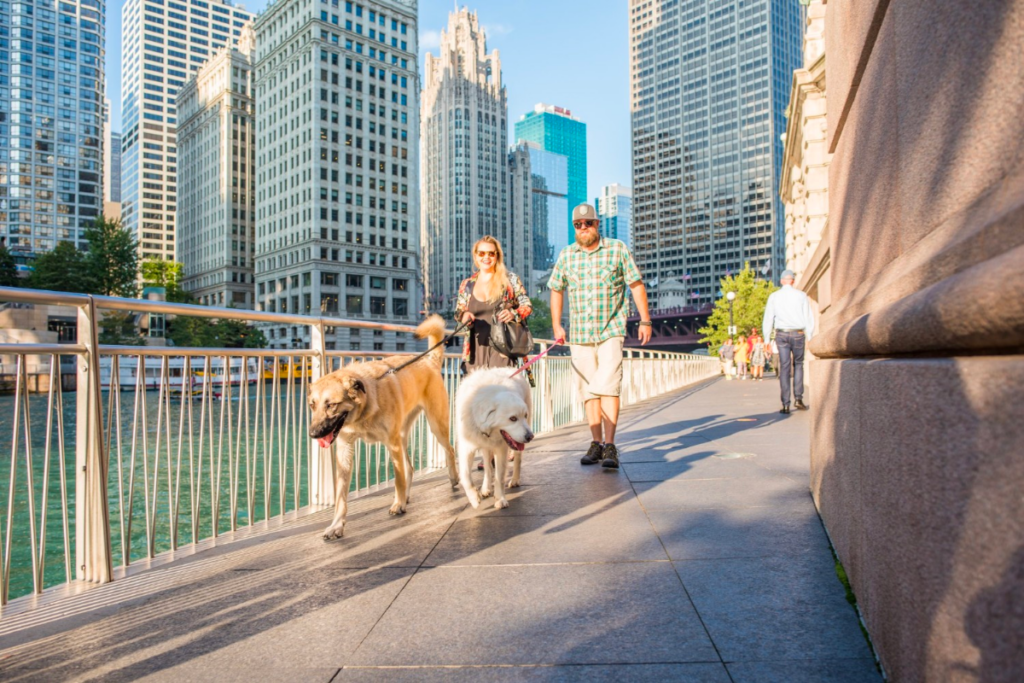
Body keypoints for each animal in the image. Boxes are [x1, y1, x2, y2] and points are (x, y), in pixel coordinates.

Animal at [307, 317, 460, 540]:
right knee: (409, 468)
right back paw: (407, 495)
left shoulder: (391, 443)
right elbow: (341, 494)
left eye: (331, 405)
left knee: (449, 449)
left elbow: (397, 479)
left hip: (434, 425)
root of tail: (429, 360)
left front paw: (398, 504)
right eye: (312, 405)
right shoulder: (345, 448)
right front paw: (336, 525)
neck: (365, 408)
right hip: (403, 434)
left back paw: (453, 477)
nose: (312, 434)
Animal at [456, 368, 536, 507]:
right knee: (487, 467)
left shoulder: (501, 449)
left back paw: (515, 480)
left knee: (518, 458)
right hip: (486, 447)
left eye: (524, 416)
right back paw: (485, 488)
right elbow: (465, 476)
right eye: (512, 418)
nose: (530, 436)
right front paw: (474, 498)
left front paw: (500, 499)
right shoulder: (466, 447)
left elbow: (500, 476)